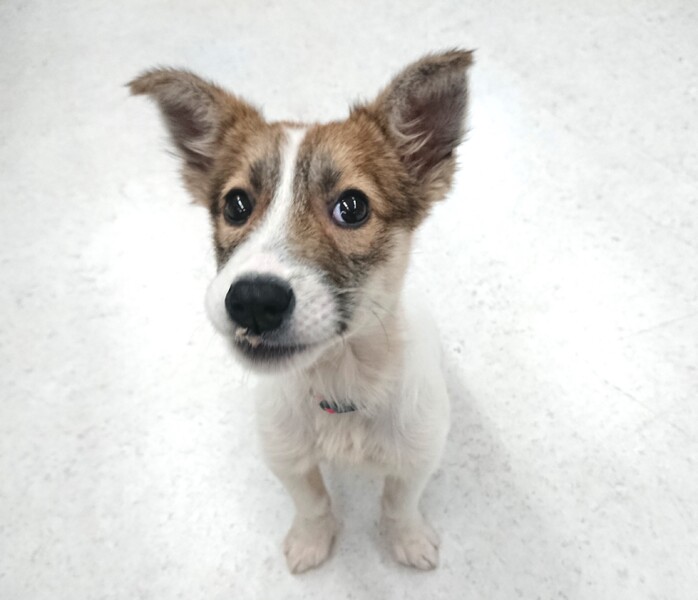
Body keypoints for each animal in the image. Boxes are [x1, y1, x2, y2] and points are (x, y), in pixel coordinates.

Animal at [130, 49, 473, 573]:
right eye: (236, 204)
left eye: (352, 207)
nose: (253, 301)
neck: (341, 384)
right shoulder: (286, 455)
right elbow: (312, 502)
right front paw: (312, 540)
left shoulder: (418, 455)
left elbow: (400, 502)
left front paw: (408, 540)